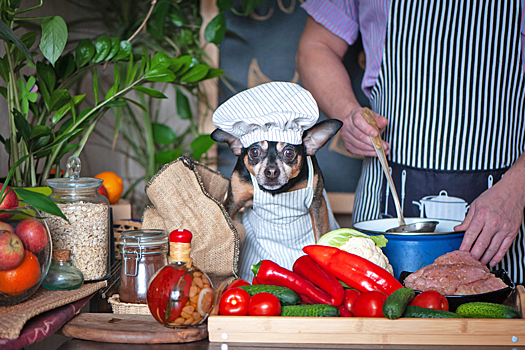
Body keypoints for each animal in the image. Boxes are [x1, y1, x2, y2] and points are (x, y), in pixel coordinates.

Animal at [211, 119, 342, 241]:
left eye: (289, 152)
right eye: (254, 152)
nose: (271, 171)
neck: (277, 191)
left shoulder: (317, 203)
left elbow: (320, 235)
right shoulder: (232, 203)